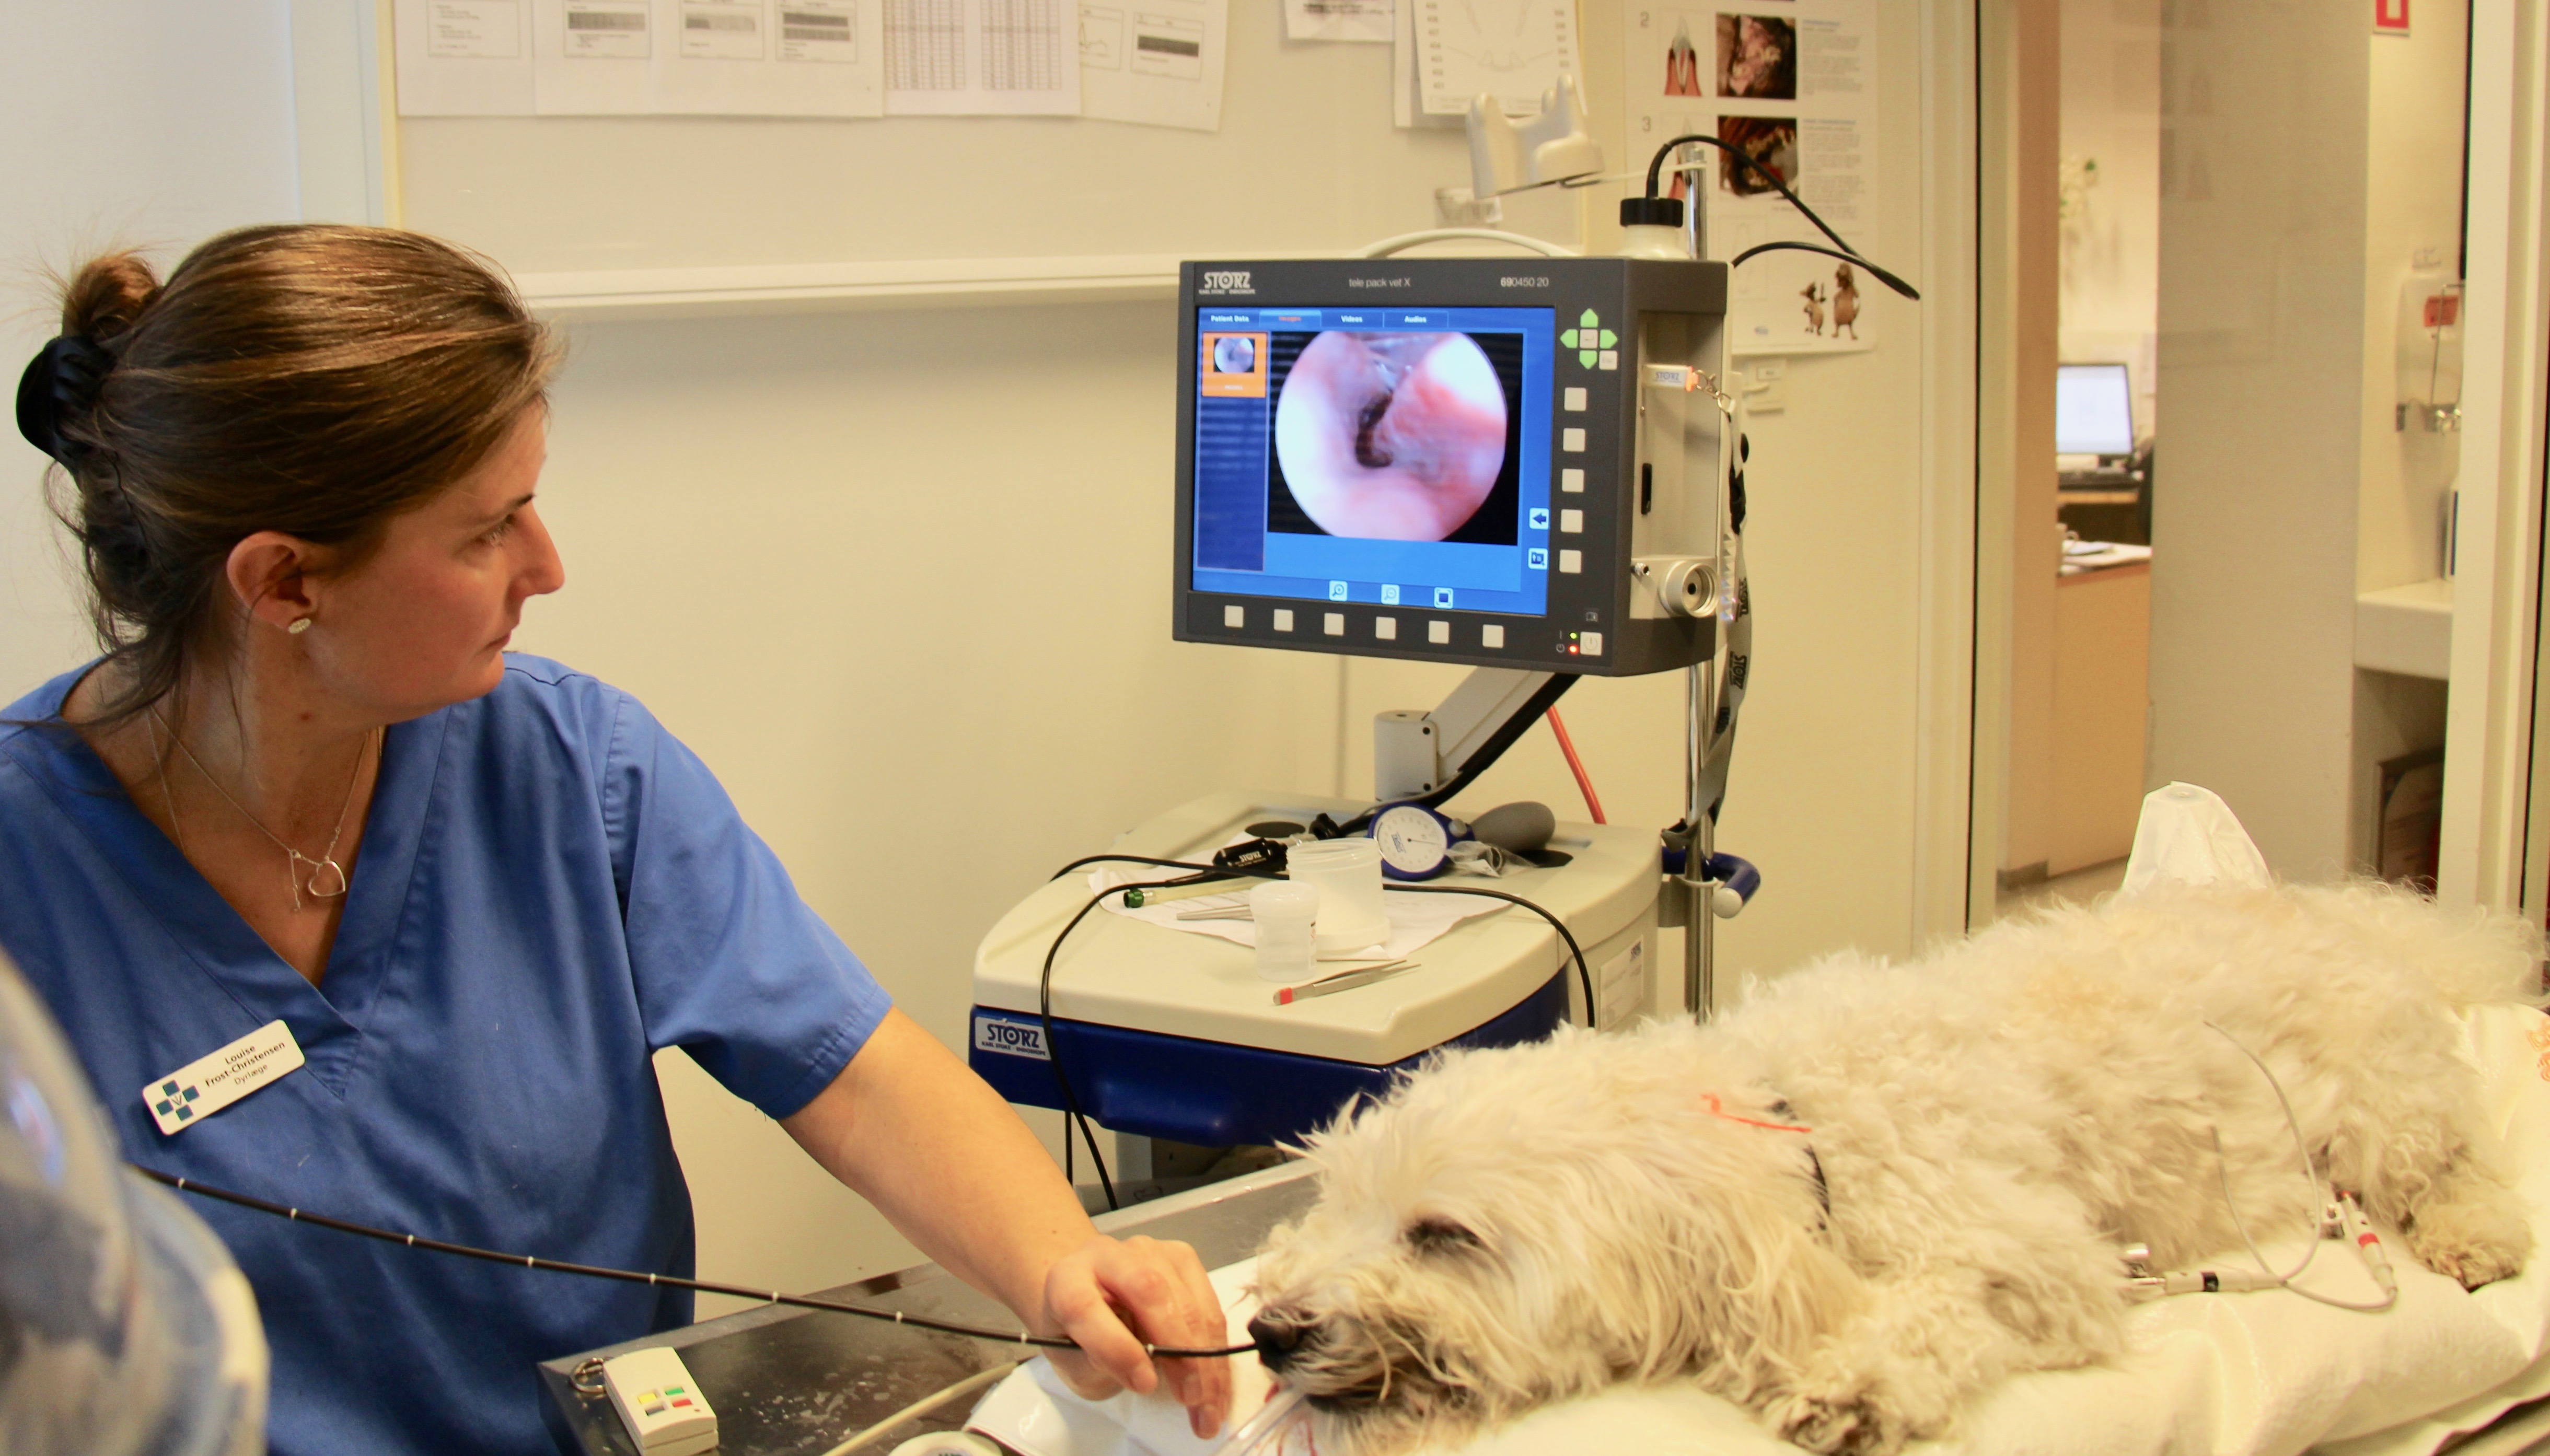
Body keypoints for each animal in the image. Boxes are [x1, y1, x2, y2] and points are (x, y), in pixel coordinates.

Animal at [1244, 882, 2540, 1448]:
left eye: (1442, 1236)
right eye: (1333, 1200)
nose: (1270, 1327)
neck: (1794, 1125)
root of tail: (2362, 911)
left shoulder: (2040, 1259)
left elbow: (1941, 1310)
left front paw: (1853, 1378)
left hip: (2384, 1096)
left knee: (2452, 1156)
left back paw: (2475, 1232)